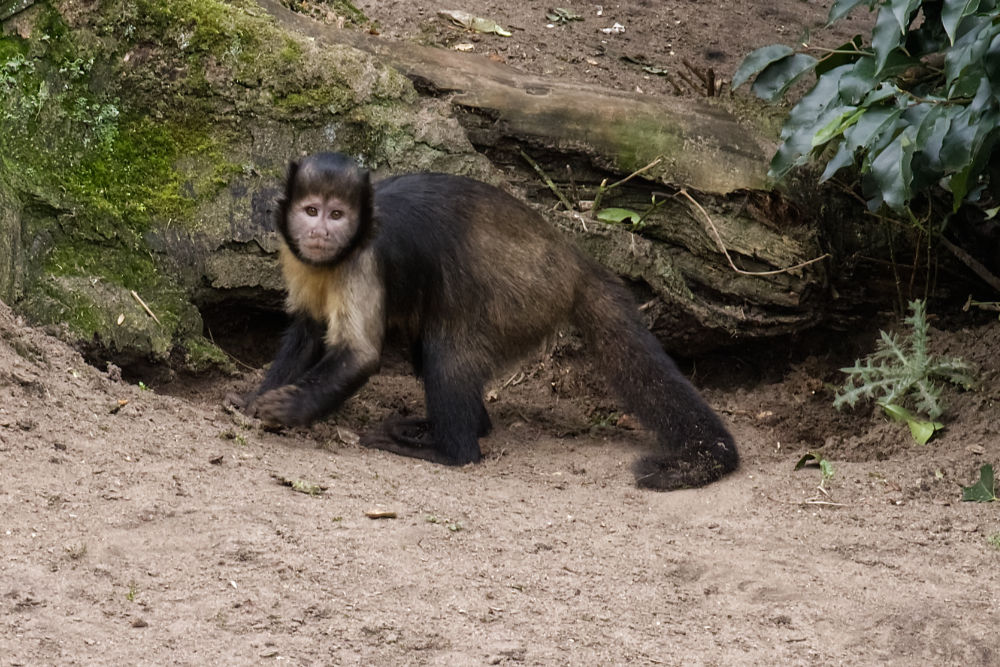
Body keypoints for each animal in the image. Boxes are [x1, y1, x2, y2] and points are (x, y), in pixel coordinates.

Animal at [242, 153, 740, 490]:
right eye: (311, 211)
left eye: (337, 214)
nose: (321, 231)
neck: (335, 258)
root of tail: (572, 260)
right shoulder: (297, 256)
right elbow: (307, 329)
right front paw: (253, 398)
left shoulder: (364, 260)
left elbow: (361, 355)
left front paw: (290, 408)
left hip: (521, 295)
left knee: (446, 354)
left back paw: (449, 450)